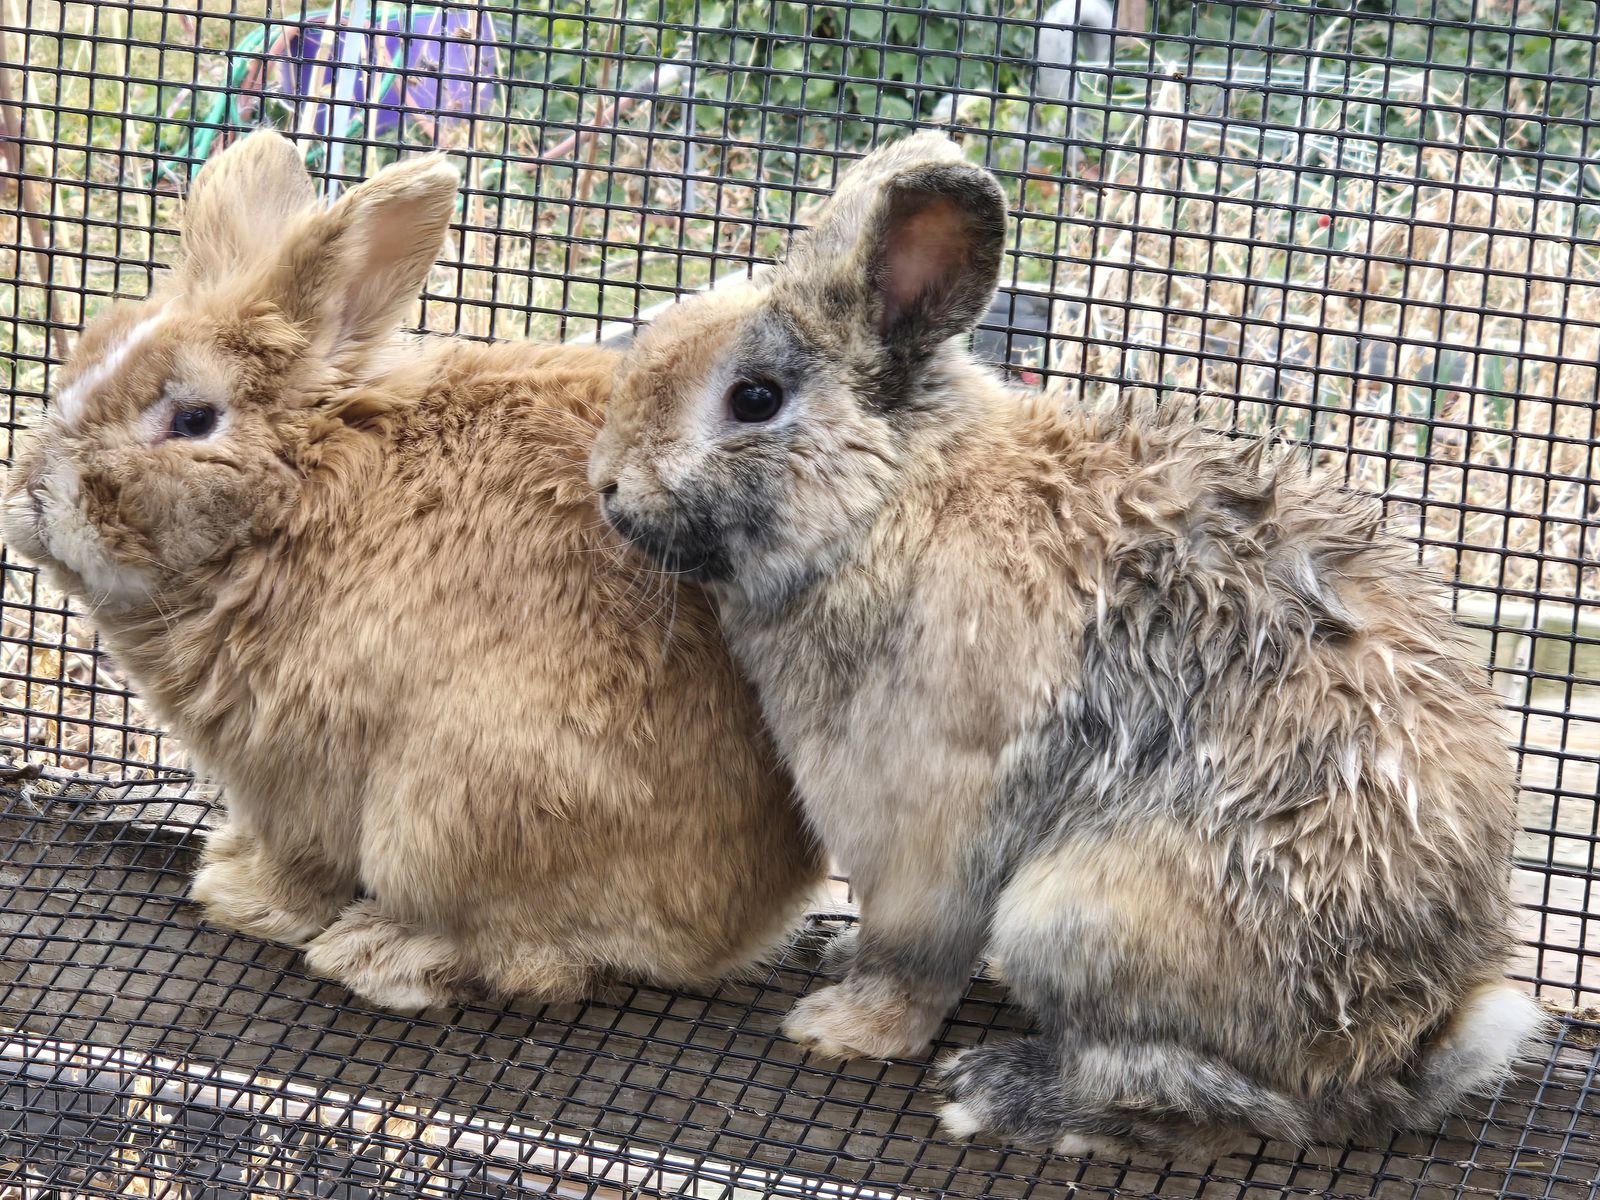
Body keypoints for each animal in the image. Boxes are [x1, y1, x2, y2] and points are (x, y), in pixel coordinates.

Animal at [2, 129, 823, 1011]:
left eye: (193, 419)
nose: (29, 498)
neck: (299, 496)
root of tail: (754, 921)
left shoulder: (296, 772)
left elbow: (303, 863)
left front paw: (241, 897)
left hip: (453, 808)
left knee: (528, 955)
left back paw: (378, 952)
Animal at [587, 131, 1545, 1155]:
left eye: (755, 398)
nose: (608, 482)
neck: (890, 498)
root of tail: (1399, 1044)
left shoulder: (924, 823)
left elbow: (912, 955)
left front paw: (844, 1027)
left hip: (1073, 913)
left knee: (1227, 1101)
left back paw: (1004, 1093)